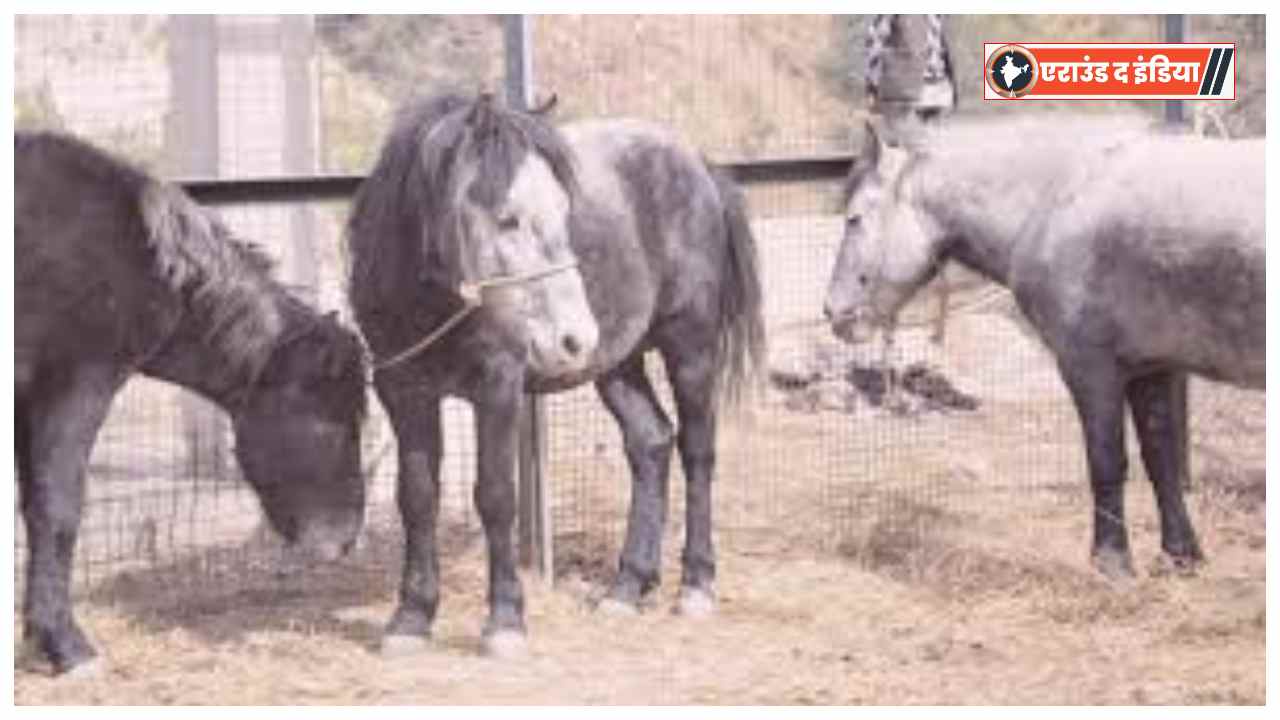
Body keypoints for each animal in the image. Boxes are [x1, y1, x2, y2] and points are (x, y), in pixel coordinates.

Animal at [347, 93, 764, 657]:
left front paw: (505, 621)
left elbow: (496, 495)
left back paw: (696, 586)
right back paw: (628, 586)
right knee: (651, 442)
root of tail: (697, 164)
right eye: (508, 220)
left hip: (691, 347)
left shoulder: (498, 386)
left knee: (697, 452)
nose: (573, 338)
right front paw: (411, 617)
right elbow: (416, 496)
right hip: (617, 363)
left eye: (565, 213)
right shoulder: (402, 390)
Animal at [824, 117, 1263, 579]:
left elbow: (1107, 460)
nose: (833, 310)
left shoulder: (1090, 368)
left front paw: (1112, 562)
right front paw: (1181, 556)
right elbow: (1160, 458)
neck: (1059, 198)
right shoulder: (1151, 367)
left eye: (854, 219)